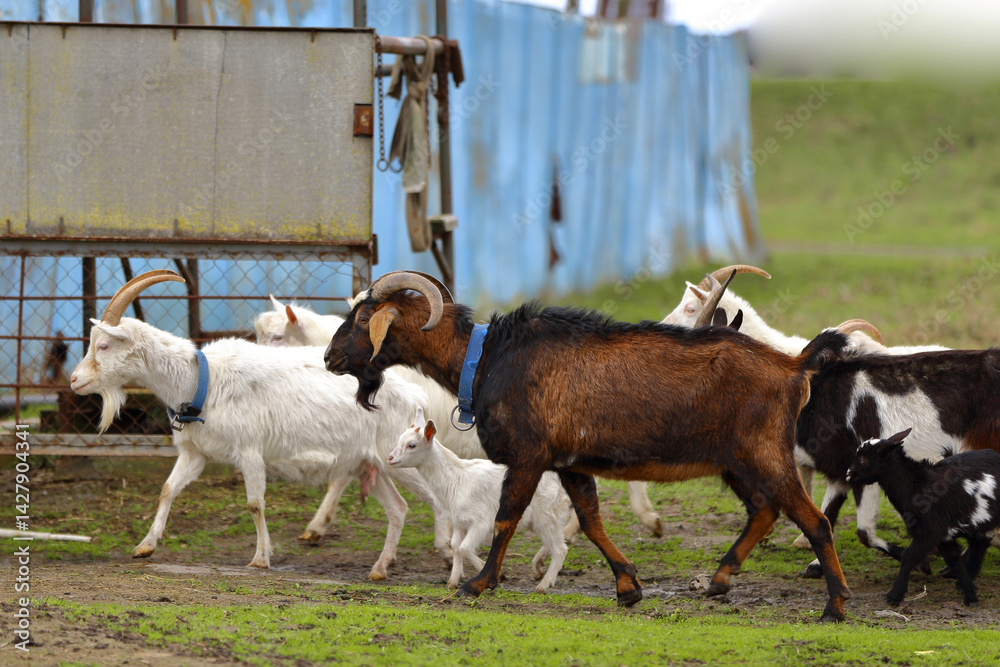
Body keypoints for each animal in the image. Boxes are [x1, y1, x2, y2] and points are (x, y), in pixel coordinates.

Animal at [69, 271, 429, 579]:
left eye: (103, 345)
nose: (74, 380)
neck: (203, 380)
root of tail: (414, 396)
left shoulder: (250, 451)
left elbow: (255, 504)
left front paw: (260, 558)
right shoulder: (195, 453)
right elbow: (167, 489)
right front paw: (145, 546)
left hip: (402, 460)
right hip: (372, 464)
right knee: (398, 509)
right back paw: (380, 568)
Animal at [389, 407, 571, 592]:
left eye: (411, 445)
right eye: (399, 439)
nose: (390, 458)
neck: (456, 479)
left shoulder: (480, 521)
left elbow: (464, 547)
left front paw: (490, 572)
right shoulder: (458, 522)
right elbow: (456, 547)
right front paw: (453, 581)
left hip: (547, 516)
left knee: (560, 549)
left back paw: (544, 585)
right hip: (540, 520)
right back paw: (540, 569)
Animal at [847, 429, 1000, 606]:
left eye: (863, 459)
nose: (848, 475)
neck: (917, 485)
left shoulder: (929, 531)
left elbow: (908, 556)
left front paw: (894, 596)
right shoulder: (943, 535)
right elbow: (955, 560)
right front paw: (970, 595)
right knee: (979, 544)